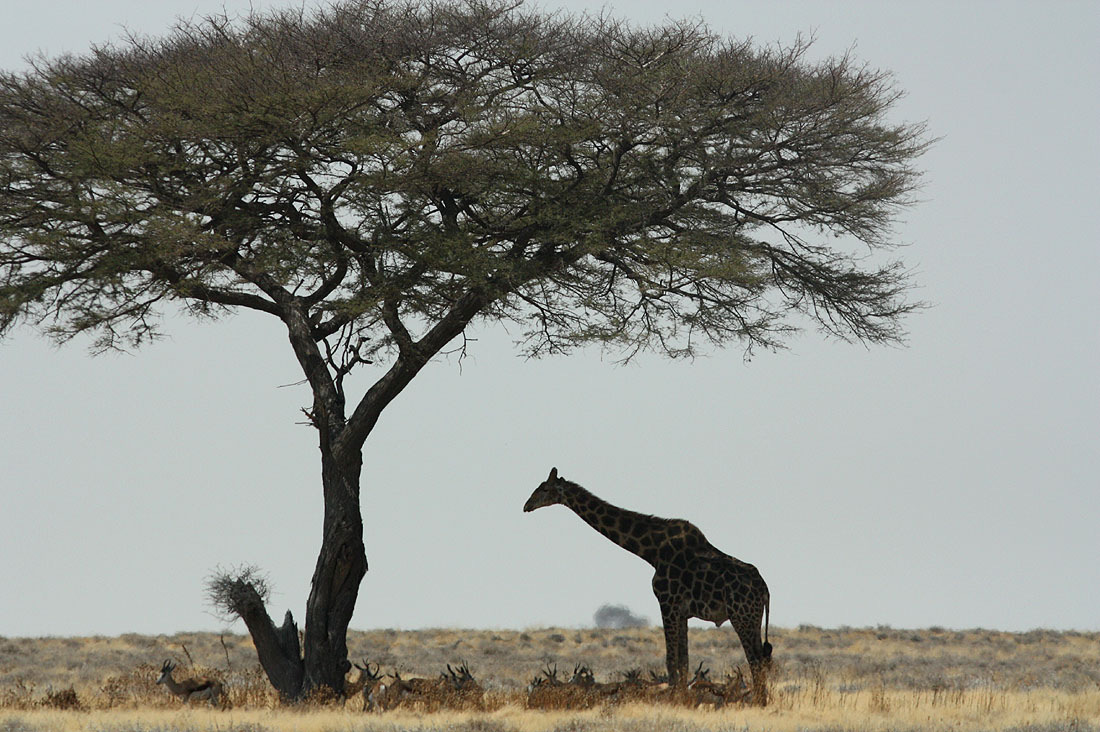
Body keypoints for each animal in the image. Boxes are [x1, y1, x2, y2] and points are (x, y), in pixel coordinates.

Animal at [523, 468, 774, 704]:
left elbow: (671, 660)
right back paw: (761, 701)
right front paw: (682, 699)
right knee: (761, 658)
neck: (652, 551)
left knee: (755, 660)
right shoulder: (681, 611)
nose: (527, 505)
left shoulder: (667, 603)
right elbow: (683, 661)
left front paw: (675, 701)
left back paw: (758, 702)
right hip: (753, 617)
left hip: (741, 616)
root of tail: (765, 589)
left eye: (544, 488)